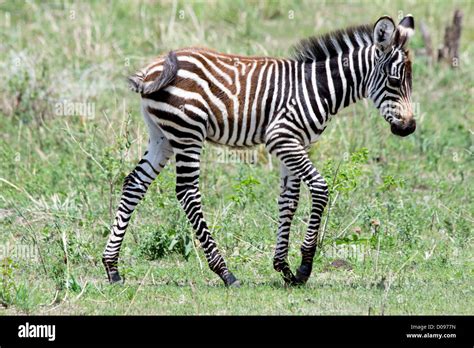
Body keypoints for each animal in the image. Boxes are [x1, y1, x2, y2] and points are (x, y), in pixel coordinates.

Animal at [103, 14, 414, 286]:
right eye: (394, 81)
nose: (409, 127)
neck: (318, 87)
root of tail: (151, 70)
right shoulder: (281, 138)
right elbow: (320, 188)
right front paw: (304, 267)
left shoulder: (295, 143)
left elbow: (289, 201)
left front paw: (285, 269)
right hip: (188, 132)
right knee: (187, 193)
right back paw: (225, 273)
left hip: (162, 136)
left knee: (134, 183)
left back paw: (112, 268)